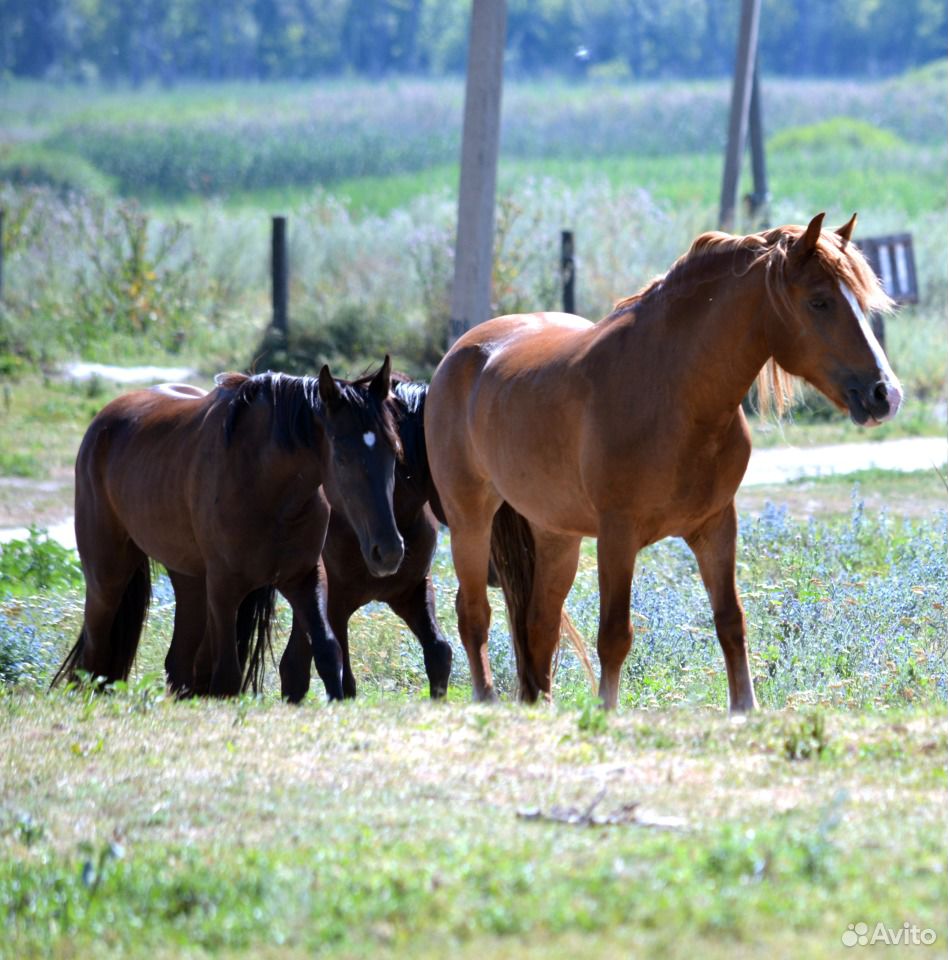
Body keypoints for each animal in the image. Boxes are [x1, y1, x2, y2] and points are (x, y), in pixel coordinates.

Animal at [53, 360, 404, 696]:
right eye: (342, 457)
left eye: (395, 451)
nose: (388, 551)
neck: (265, 485)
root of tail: (103, 423)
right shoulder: (224, 588)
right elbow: (226, 676)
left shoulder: (305, 578)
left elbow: (328, 653)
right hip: (107, 579)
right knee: (94, 655)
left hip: (190, 580)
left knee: (178, 661)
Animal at [428, 216, 904, 712]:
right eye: (819, 301)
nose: (885, 394)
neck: (673, 393)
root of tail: (461, 352)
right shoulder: (618, 536)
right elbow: (614, 636)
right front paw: (607, 710)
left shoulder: (716, 527)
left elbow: (731, 621)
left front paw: (745, 708)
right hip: (470, 520)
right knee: (474, 613)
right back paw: (486, 699)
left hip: (556, 534)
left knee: (540, 623)